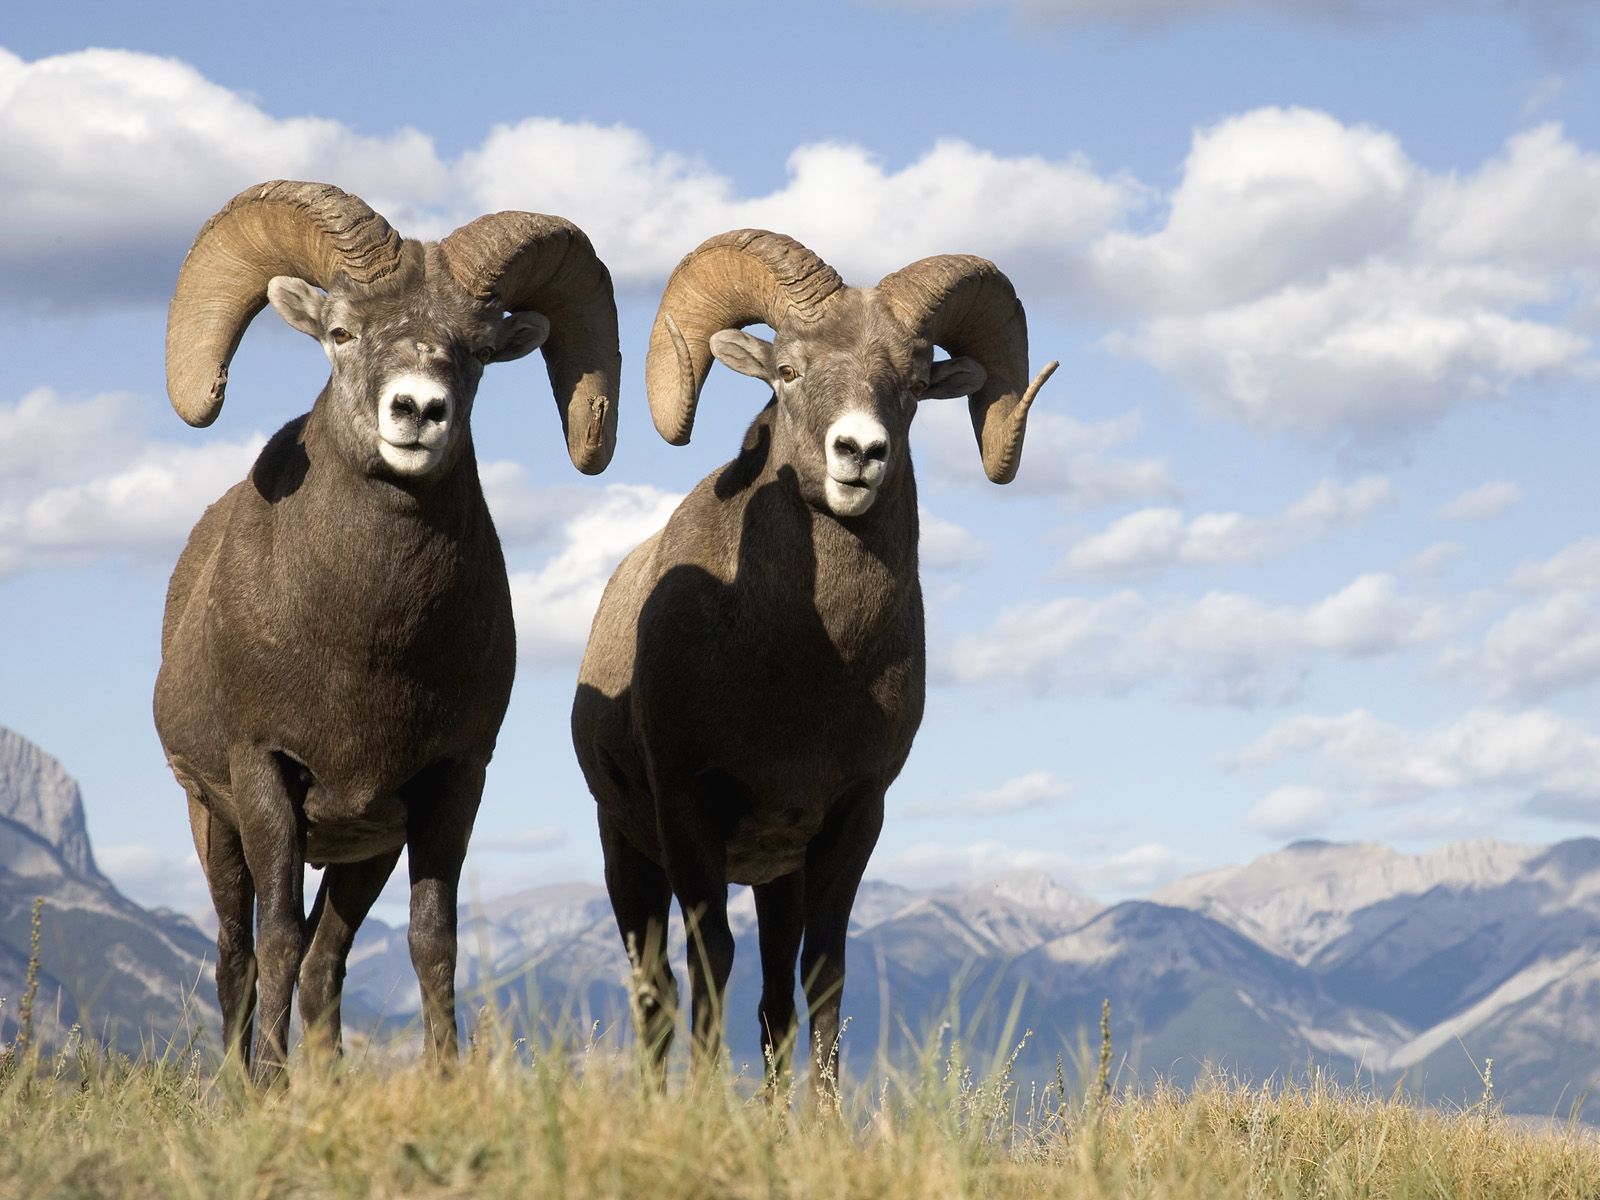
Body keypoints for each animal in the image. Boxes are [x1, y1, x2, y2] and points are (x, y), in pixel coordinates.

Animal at [153, 180, 620, 1083]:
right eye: (341, 333)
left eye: (476, 351)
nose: (417, 411)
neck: (366, 651)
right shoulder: (263, 777)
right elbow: (274, 940)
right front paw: (271, 1090)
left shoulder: (447, 784)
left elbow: (431, 942)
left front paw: (444, 1079)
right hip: (212, 822)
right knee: (237, 956)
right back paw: (241, 1086)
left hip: (362, 850)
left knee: (326, 961)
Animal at [571, 229, 1055, 1086]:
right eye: (789, 371)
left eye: (911, 384)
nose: (859, 452)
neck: (803, 674)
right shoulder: (688, 811)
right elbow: (710, 960)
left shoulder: (848, 820)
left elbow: (820, 976)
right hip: (627, 853)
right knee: (656, 989)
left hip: (775, 879)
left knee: (771, 1002)